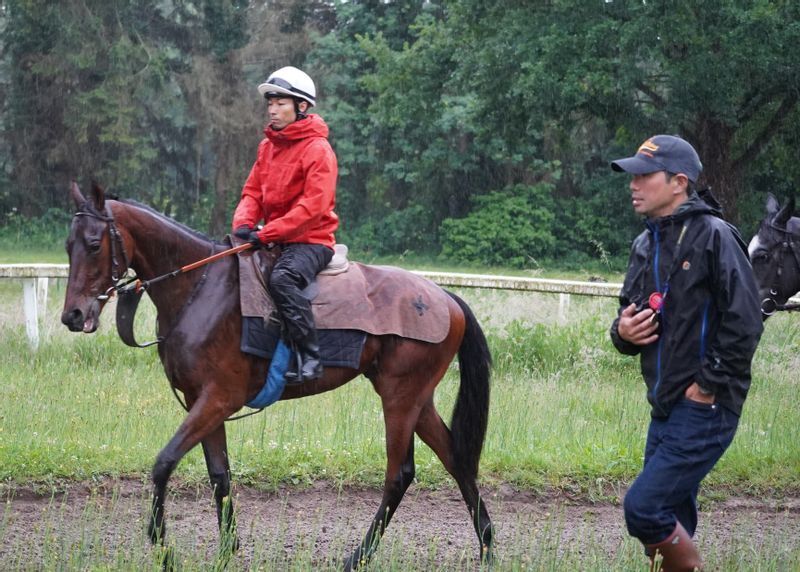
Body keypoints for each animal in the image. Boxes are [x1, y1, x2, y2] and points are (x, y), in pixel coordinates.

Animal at [59, 183, 494, 568]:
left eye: (94, 244)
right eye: (68, 246)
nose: (73, 315)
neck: (200, 288)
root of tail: (444, 297)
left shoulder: (218, 399)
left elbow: (164, 463)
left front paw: (162, 547)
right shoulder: (205, 401)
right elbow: (220, 475)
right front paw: (226, 551)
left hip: (400, 398)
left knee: (399, 475)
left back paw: (357, 557)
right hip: (417, 400)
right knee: (456, 460)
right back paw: (487, 547)